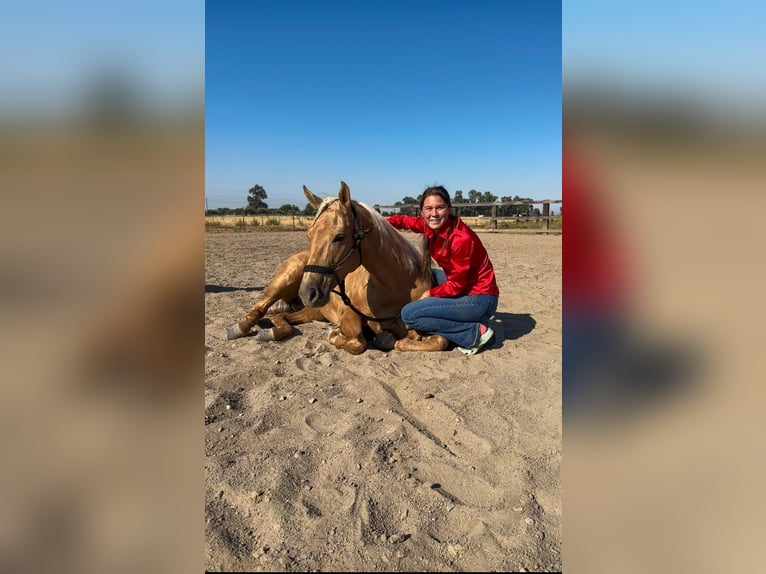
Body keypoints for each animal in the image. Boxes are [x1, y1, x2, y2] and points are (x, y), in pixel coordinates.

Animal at [225, 181, 449, 354]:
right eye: (309, 234)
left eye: (340, 236)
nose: (308, 292)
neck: (394, 287)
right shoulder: (347, 313)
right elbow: (358, 342)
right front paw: (334, 335)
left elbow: (439, 341)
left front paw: (390, 339)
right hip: (283, 282)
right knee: (260, 307)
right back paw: (239, 328)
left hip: (313, 310)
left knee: (280, 317)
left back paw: (272, 331)